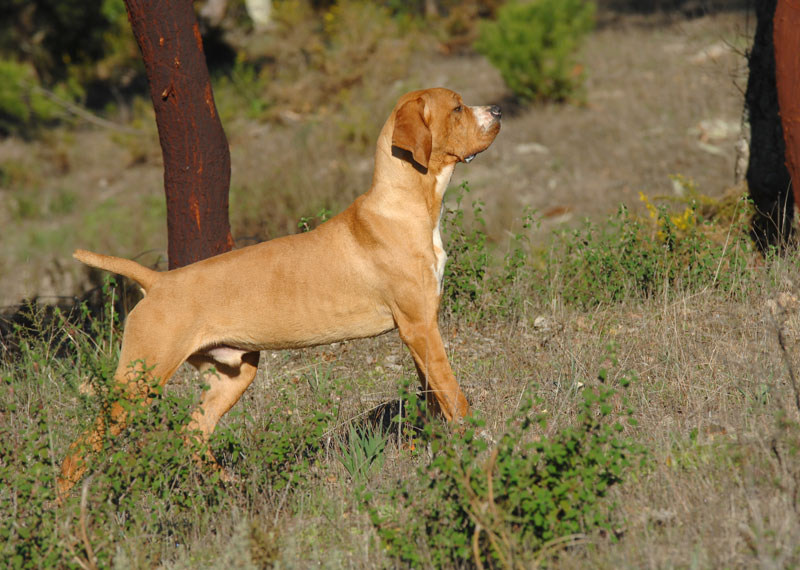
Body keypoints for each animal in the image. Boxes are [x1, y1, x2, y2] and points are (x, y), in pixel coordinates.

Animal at [57, 86, 500, 494]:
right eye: (457, 108)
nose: (497, 109)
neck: (407, 205)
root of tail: (159, 281)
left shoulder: (419, 330)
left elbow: (433, 393)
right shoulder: (419, 326)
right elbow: (452, 392)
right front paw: (476, 438)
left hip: (233, 374)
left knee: (194, 433)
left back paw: (229, 487)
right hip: (138, 382)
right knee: (78, 450)